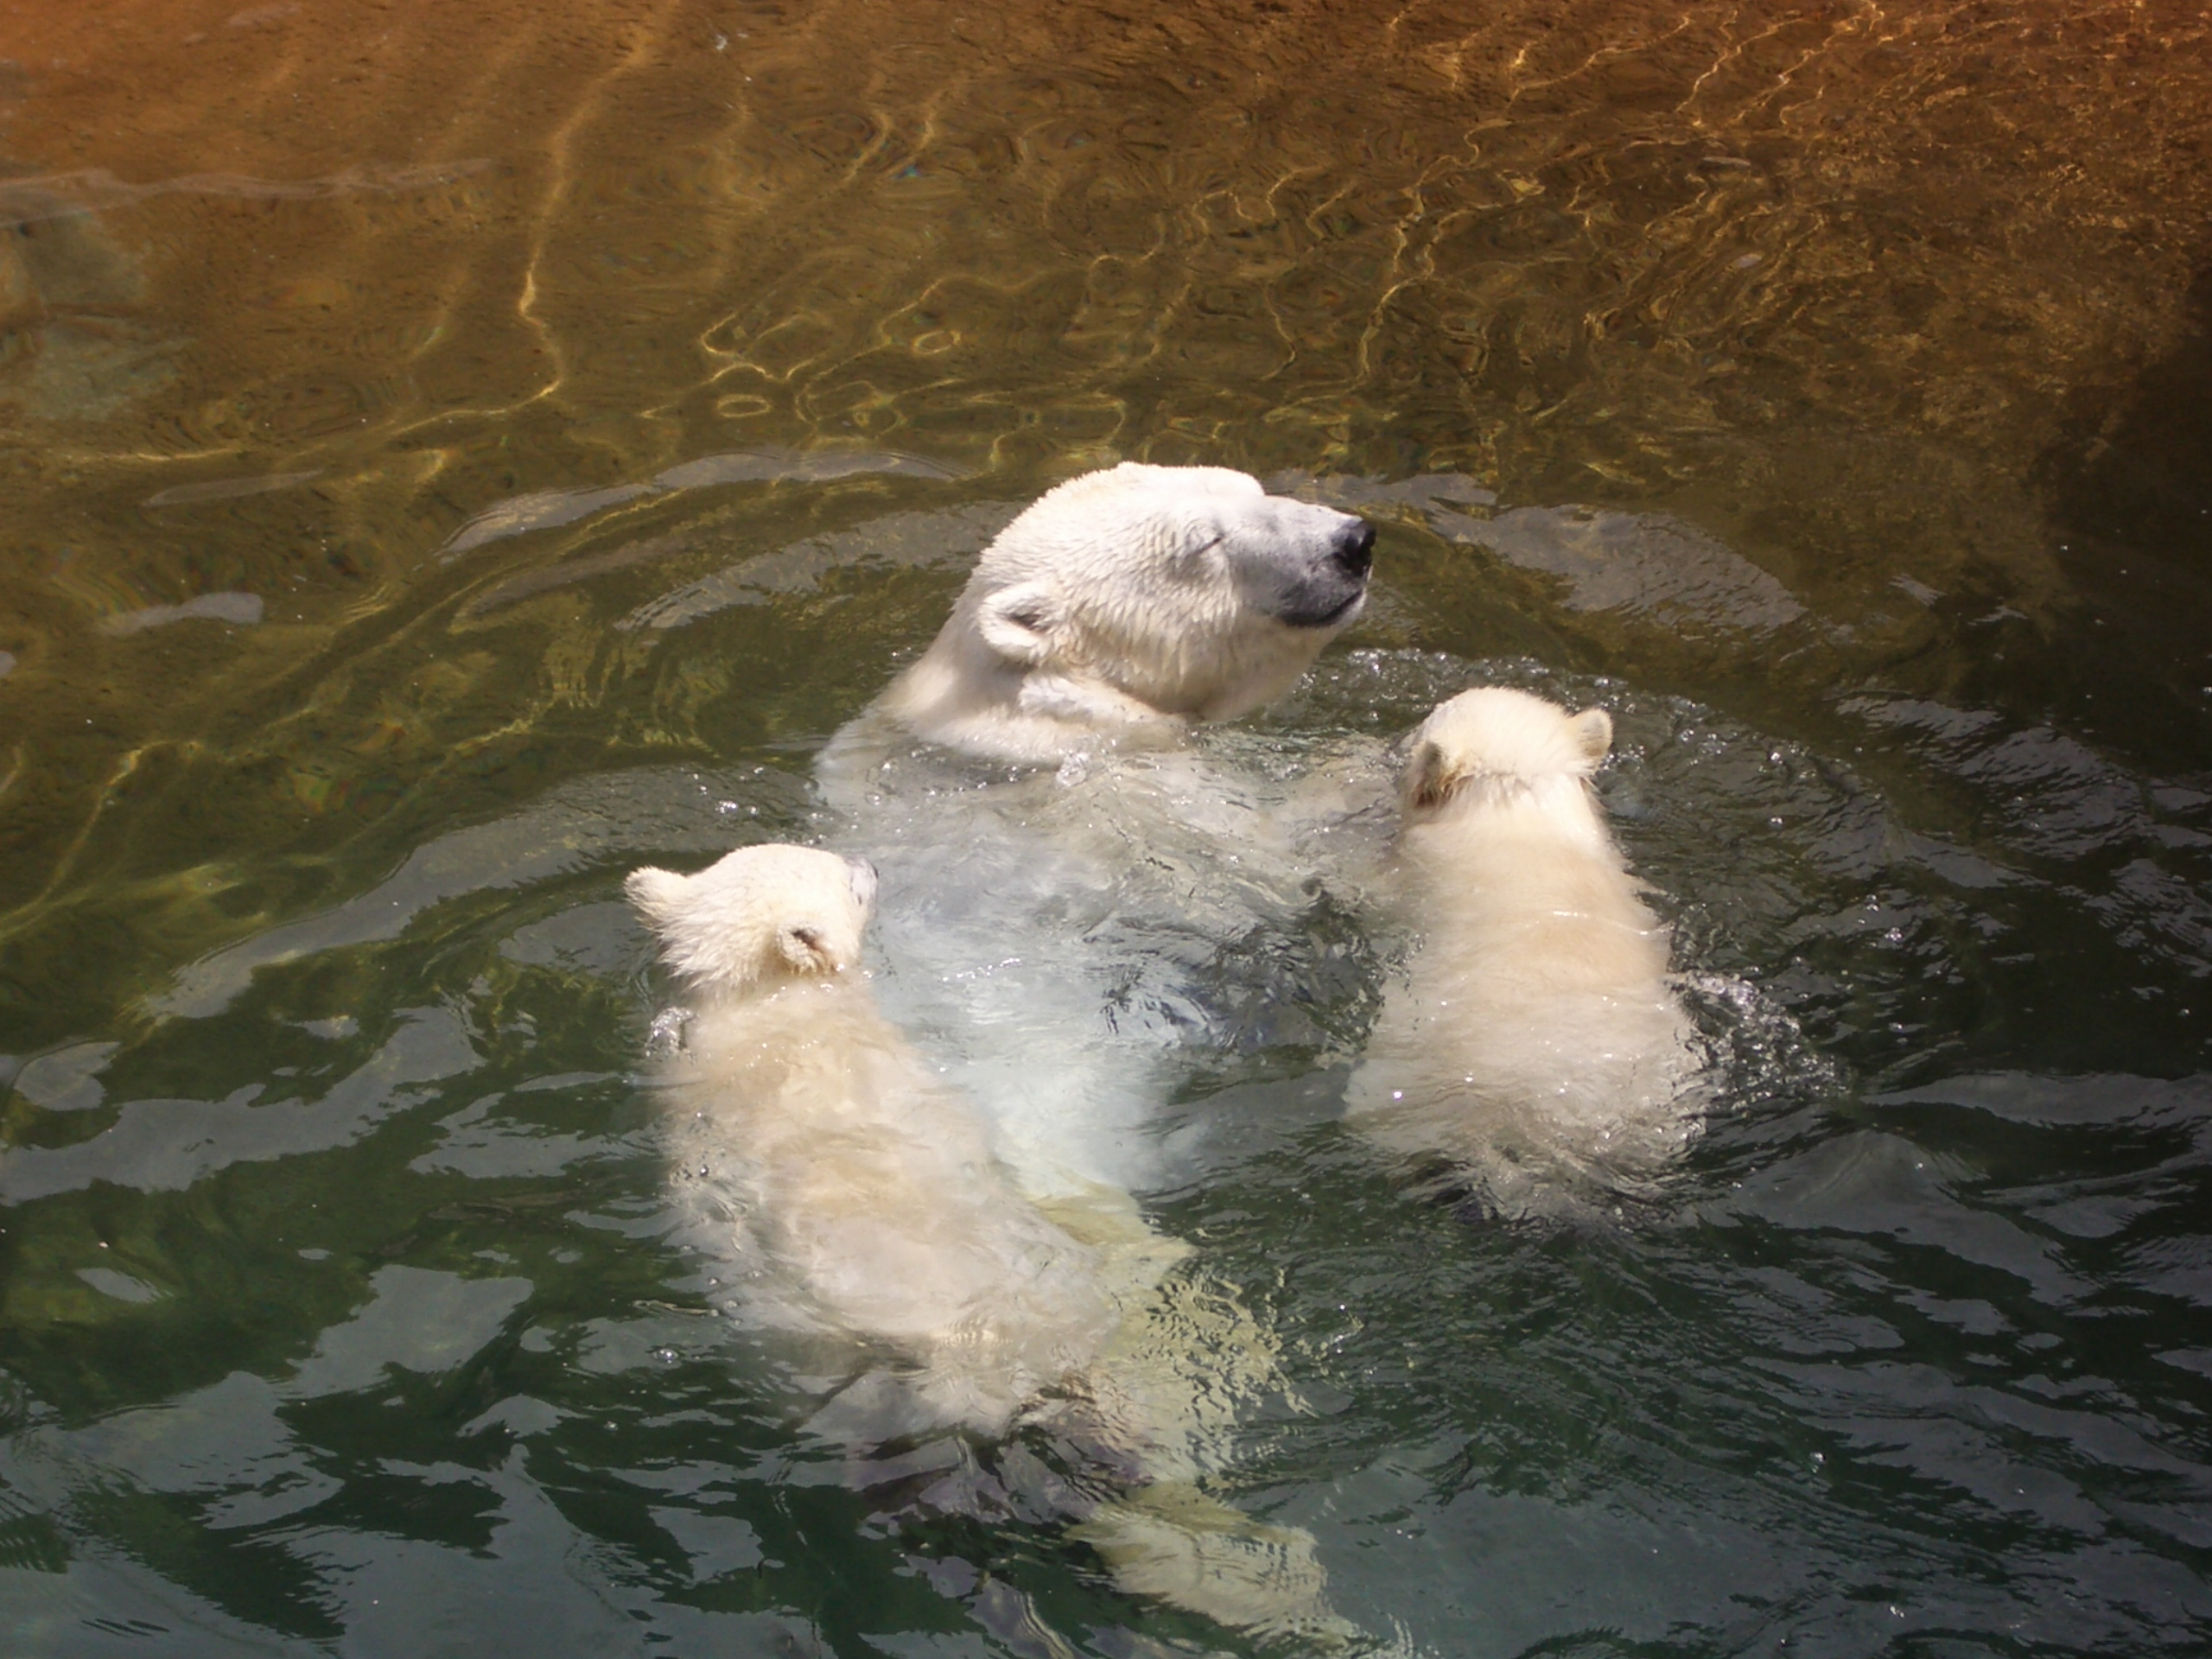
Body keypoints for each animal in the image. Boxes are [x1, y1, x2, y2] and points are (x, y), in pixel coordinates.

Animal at [1336, 690, 1699, 1211]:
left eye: (1424, 724)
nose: (1396, 739)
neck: (1520, 816)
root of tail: (1527, 1120)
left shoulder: (1407, 874)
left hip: (1405, 1081)